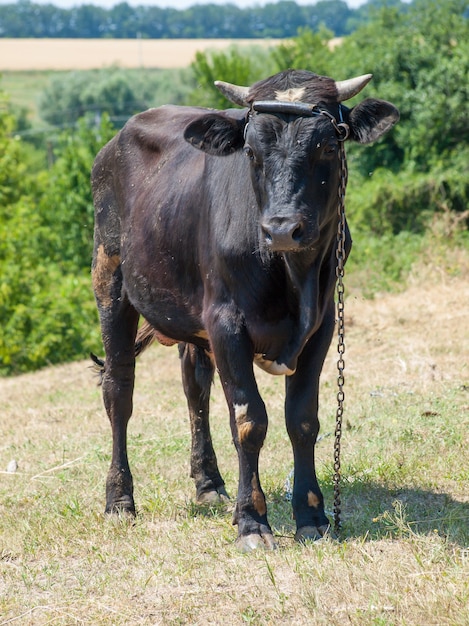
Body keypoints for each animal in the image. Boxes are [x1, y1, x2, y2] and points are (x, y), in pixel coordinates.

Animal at [91, 68, 398, 548]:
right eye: (251, 151)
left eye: (328, 147)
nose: (282, 229)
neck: (292, 273)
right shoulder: (225, 323)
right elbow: (249, 420)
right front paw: (252, 521)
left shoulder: (322, 326)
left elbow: (302, 419)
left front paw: (312, 515)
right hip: (110, 279)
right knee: (118, 390)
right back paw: (120, 501)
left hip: (190, 317)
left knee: (194, 388)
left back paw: (209, 483)